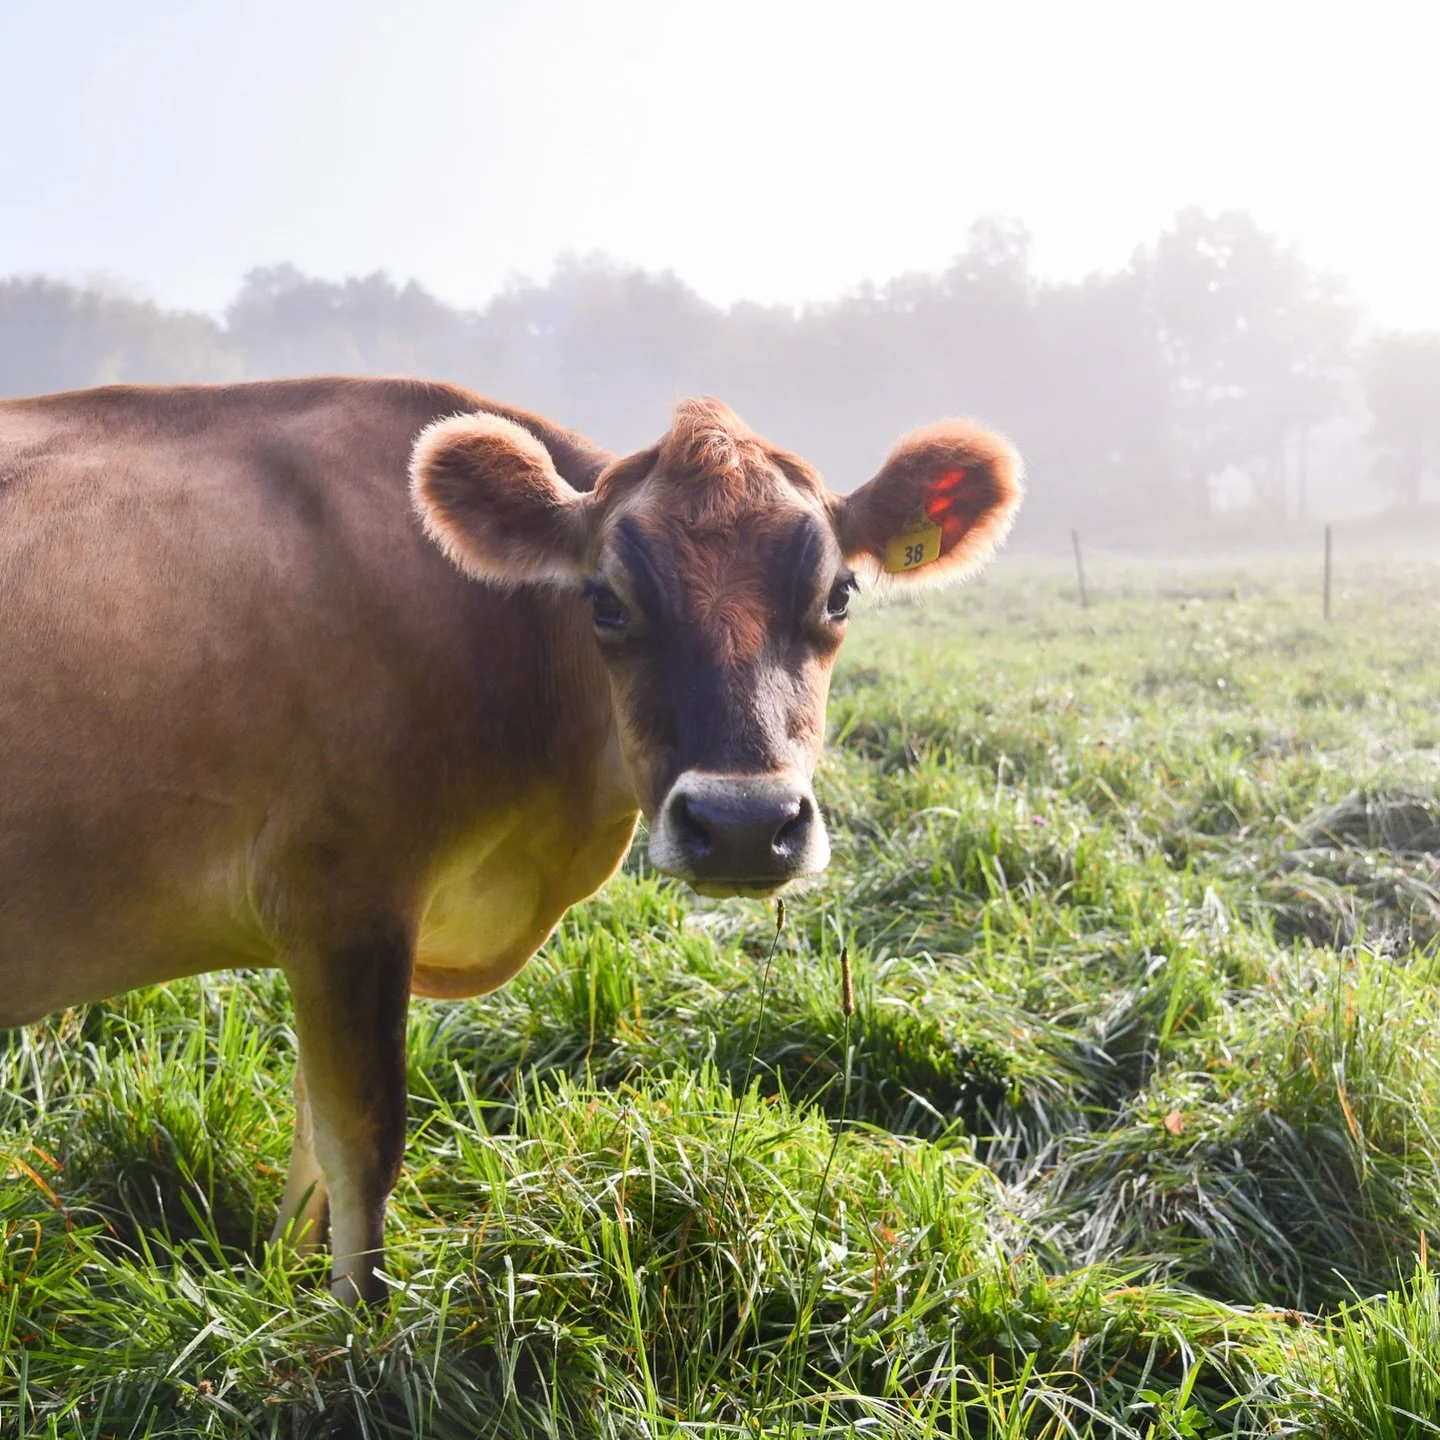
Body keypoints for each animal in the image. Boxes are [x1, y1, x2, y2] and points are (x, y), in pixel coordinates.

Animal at [0, 378, 1021, 1301]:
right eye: (605, 601)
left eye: (840, 594)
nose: (743, 826)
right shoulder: (342, 895)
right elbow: (361, 1140)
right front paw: (356, 1332)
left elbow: (310, 1140)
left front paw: (289, 1292)